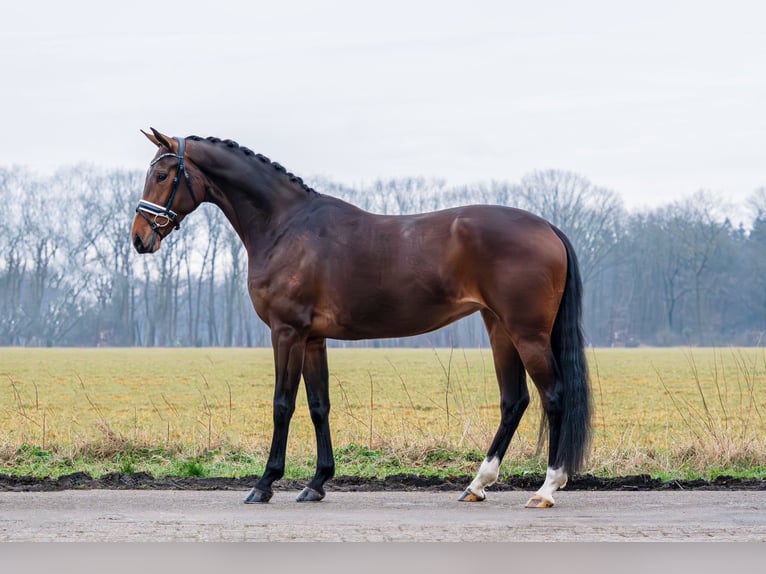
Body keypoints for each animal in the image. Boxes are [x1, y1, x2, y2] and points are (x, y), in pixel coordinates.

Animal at [132, 129, 592, 508]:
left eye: (163, 174)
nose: (139, 238)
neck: (286, 227)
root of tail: (548, 227)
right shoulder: (313, 339)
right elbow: (319, 405)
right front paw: (317, 483)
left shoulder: (287, 332)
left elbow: (283, 404)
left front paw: (264, 484)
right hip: (499, 328)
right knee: (514, 400)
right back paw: (477, 484)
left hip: (527, 333)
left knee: (554, 396)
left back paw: (547, 488)